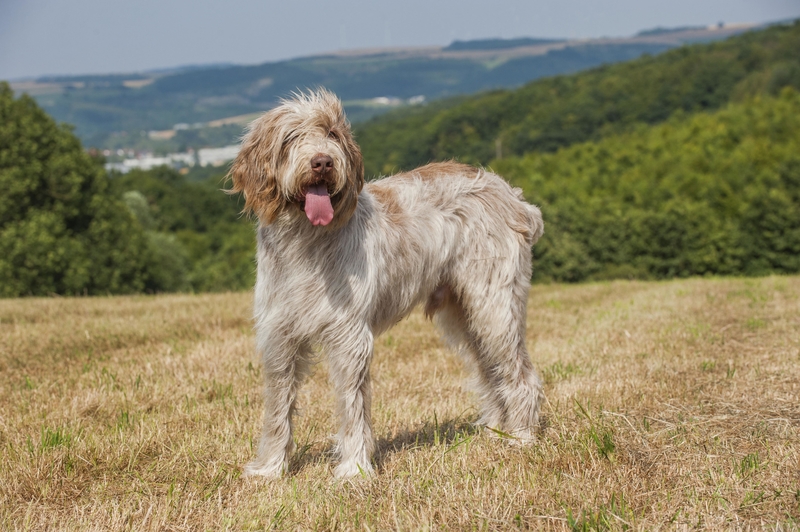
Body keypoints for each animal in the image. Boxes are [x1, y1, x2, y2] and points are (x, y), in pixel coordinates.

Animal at [228, 88, 548, 478]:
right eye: (291, 137)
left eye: (332, 134)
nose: (322, 163)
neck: (305, 239)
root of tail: (514, 198)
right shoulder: (279, 336)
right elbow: (278, 407)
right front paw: (271, 470)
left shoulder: (349, 335)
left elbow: (352, 406)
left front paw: (354, 470)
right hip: (464, 314)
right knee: (491, 371)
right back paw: (496, 431)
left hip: (494, 307)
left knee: (520, 374)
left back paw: (521, 437)